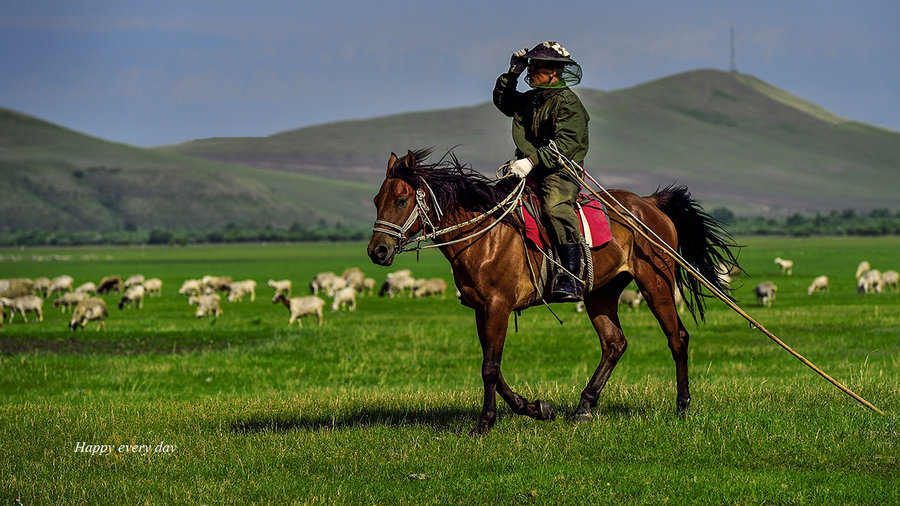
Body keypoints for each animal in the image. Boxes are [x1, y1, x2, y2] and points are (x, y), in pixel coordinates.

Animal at [366, 147, 740, 434]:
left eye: (401, 200)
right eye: (376, 200)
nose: (377, 251)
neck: (485, 235)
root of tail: (649, 203)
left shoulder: (498, 306)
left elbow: (490, 368)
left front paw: (485, 423)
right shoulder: (481, 308)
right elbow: (494, 367)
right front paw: (535, 408)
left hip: (655, 282)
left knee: (677, 337)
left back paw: (682, 406)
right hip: (599, 293)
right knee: (614, 343)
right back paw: (584, 407)